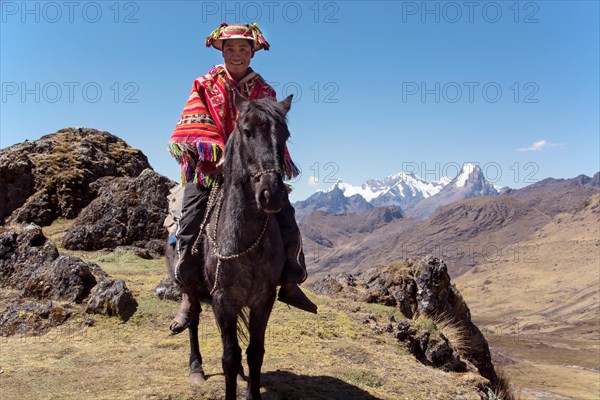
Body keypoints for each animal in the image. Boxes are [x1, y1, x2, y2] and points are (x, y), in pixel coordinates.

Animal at [168, 93, 294, 400]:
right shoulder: (223, 299)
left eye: (285, 135)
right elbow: (229, 356)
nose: (272, 195)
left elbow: (254, 352)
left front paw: (251, 391)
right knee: (194, 319)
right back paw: (196, 368)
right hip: (194, 287)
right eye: (247, 131)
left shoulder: (263, 299)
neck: (246, 242)